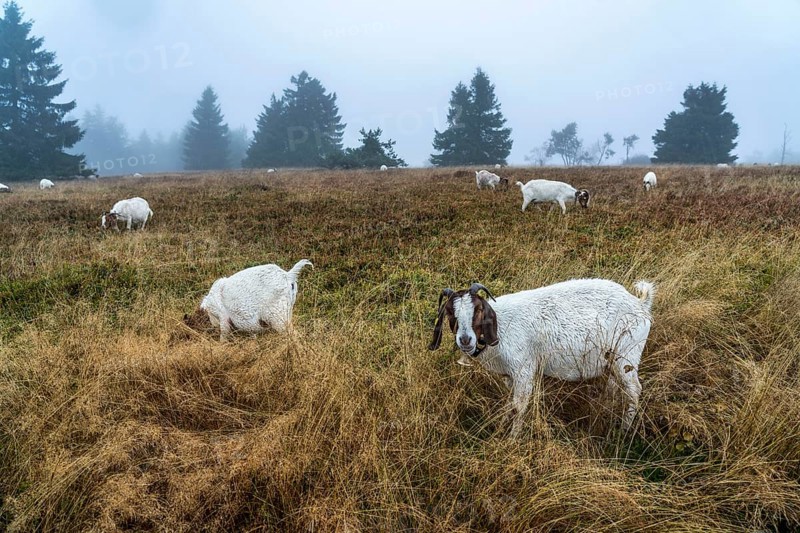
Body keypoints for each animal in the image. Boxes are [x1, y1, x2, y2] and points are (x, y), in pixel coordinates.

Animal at [429, 279, 655, 436]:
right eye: (450, 312)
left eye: (478, 310)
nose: (465, 340)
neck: (501, 325)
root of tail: (640, 304)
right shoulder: (509, 376)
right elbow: (509, 404)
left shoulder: (524, 369)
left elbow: (519, 406)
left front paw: (512, 439)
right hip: (613, 360)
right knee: (614, 386)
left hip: (627, 355)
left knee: (634, 390)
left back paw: (624, 430)